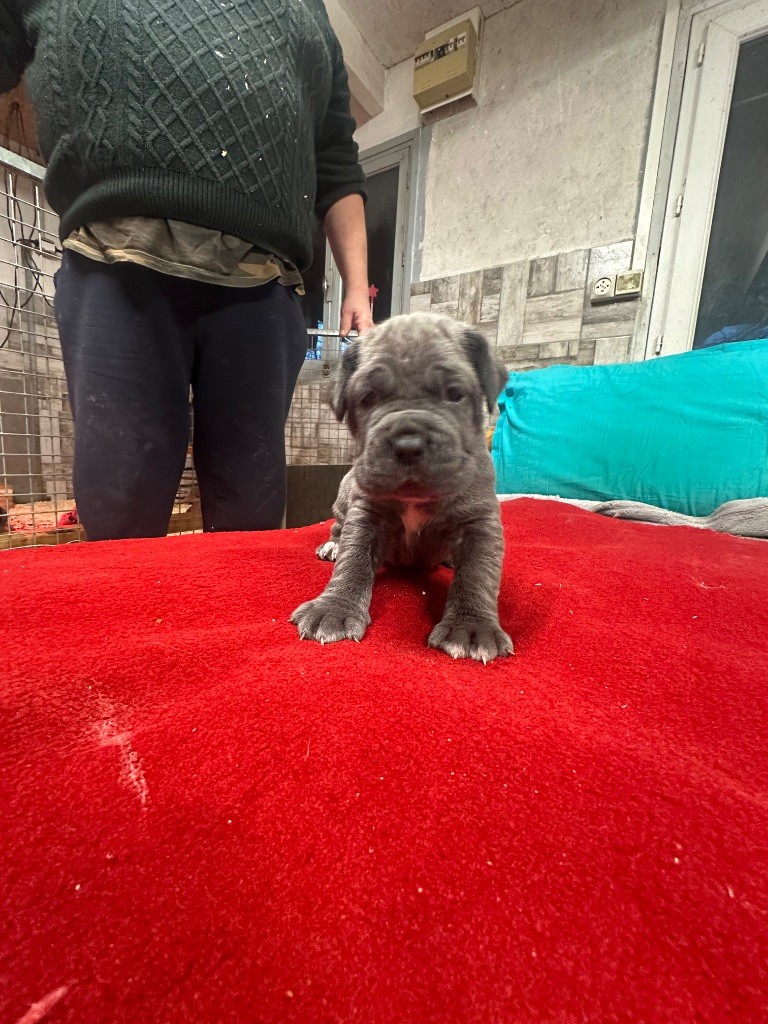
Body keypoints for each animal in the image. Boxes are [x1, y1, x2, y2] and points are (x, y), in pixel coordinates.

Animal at [290, 312, 513, 663]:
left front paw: (472, 627)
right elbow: (352, 562)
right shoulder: (366, 514)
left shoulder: (479, 522)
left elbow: (477, 574)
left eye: (455, 394)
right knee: (338, 528)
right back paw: (333, 545)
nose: (408, 444)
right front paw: (334, 608)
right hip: (344, 494)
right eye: (368, 398)